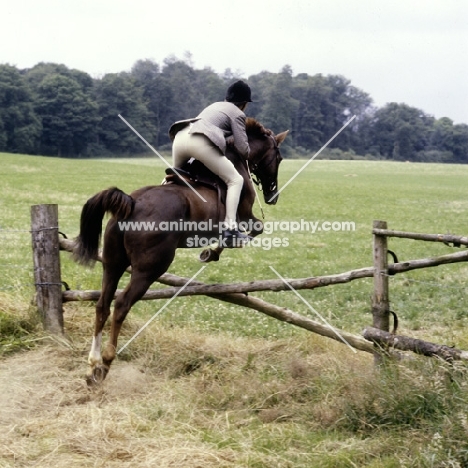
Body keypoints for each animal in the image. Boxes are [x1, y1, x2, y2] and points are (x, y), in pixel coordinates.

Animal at [73, 118, 288, 384]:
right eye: (279, 158)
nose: (272, 196)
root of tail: (132, 204)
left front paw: (211, 252)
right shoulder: (245, 215)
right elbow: (254, 228)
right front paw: (214, 251)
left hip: (113, 262)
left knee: (102, 304)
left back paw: (92, 364)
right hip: (149, 269)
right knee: (121, 304)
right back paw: (106, 361)